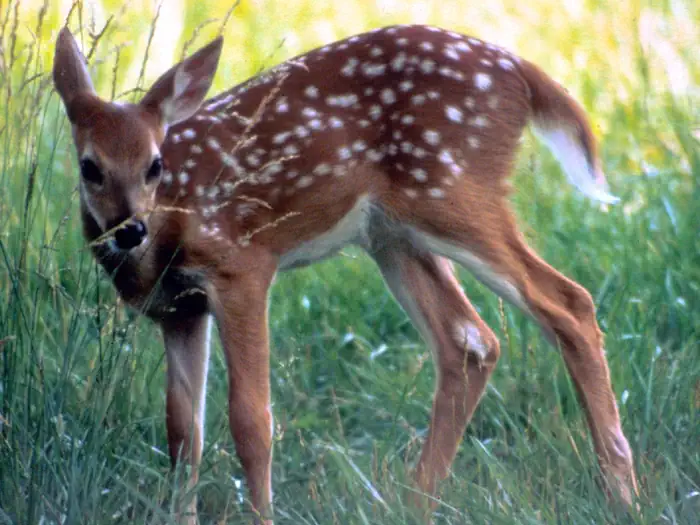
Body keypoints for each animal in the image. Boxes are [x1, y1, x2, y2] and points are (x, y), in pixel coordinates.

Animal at [52, 23, 638, 524]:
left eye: (155, 164)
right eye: (90, 167)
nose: (130, 229)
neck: (166, 232)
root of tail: (520, 69)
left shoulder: (241, 265)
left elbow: (251, 420)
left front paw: (262, 516)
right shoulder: (179, 311)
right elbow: (181, 433)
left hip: (451, 189)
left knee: (568, 302)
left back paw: (622, 495)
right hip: (393, 234)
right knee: (471, 340)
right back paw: (413, 503)